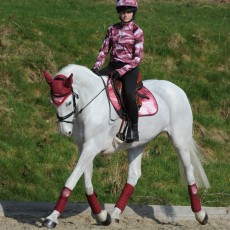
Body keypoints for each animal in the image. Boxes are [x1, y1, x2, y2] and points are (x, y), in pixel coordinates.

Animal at [41, 64, 210, 228]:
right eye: (52, 102)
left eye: (69, 102)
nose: (65, 132)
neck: (93, 104)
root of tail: (178, 89)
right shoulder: (84, 147)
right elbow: (87, 184)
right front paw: (103, 216)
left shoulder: (91, 147)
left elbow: (71, 180)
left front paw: (51, 218)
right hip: (138, 144)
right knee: (134, 175)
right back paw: (115, 214)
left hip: (179, 141)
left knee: (189, 170)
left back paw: (201, 215)